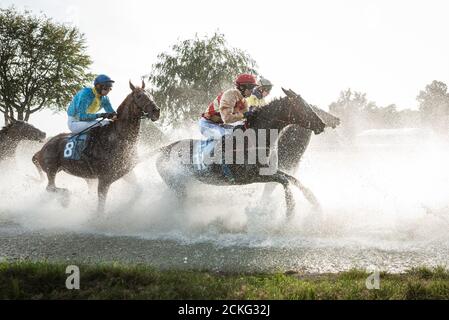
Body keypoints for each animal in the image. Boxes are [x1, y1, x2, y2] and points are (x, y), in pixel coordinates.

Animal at [32, 81, 161, 214]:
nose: (156, 111)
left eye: (151, 94)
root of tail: (41, 149)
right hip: (51, 169)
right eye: (139, 96)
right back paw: (65, 199)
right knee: (50, 187)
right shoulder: (104, 179)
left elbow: (139, 190)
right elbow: (101, 207)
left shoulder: (126, 172)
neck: (117, 137)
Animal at [156, 87, 328, 219]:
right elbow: (284, 181)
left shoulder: (267, 170)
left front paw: (315, 202)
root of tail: (164, 148)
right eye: (303, 107)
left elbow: (292, 179)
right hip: (177, 184)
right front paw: (290, 212)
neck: (254, 139)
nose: (322, 124)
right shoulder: (249, 175)